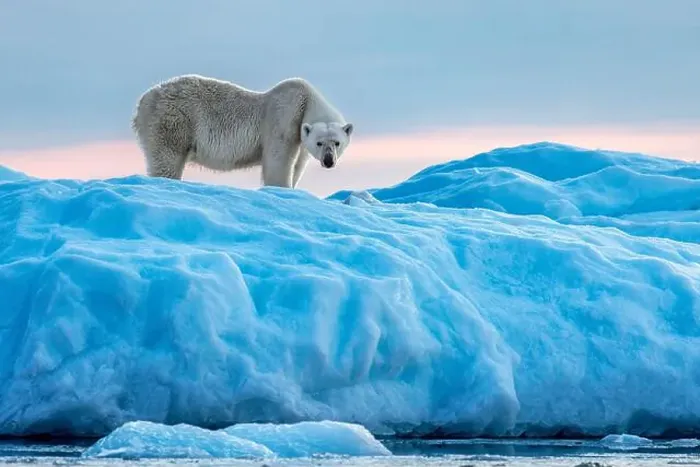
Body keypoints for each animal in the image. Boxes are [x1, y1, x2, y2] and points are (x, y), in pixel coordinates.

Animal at [130, 74, 354, 188]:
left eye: (337, 142)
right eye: (320, 142)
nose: (328, 161)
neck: (306, 101)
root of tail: (142, 102)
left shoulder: (300, 140)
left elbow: (297, 166)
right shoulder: (283, 119)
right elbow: (278, 162)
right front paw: (279, 189)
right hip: (173, 121)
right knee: (167, 158)